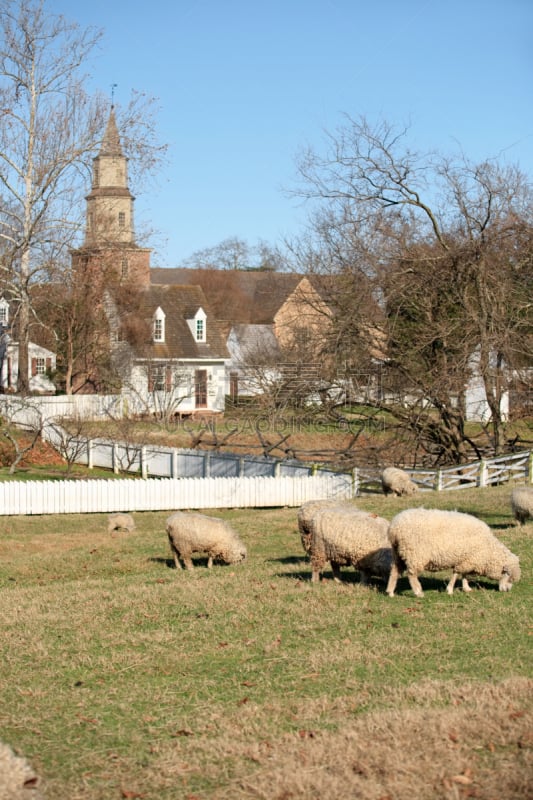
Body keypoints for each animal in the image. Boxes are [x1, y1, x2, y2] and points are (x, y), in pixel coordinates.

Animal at [384, 510, 520, 596]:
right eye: (508, 576)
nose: (507, 590)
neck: (488, 549)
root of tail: (394, 528)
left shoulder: (467, 559)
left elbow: (464, 575)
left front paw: (466, 588)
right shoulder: (465, 560)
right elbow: (456, 574)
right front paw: (449, 590)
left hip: (398, 553)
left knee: (394, 571)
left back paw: (390, 592)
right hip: (415, 554)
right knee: (412, 574)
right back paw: (418, 592)